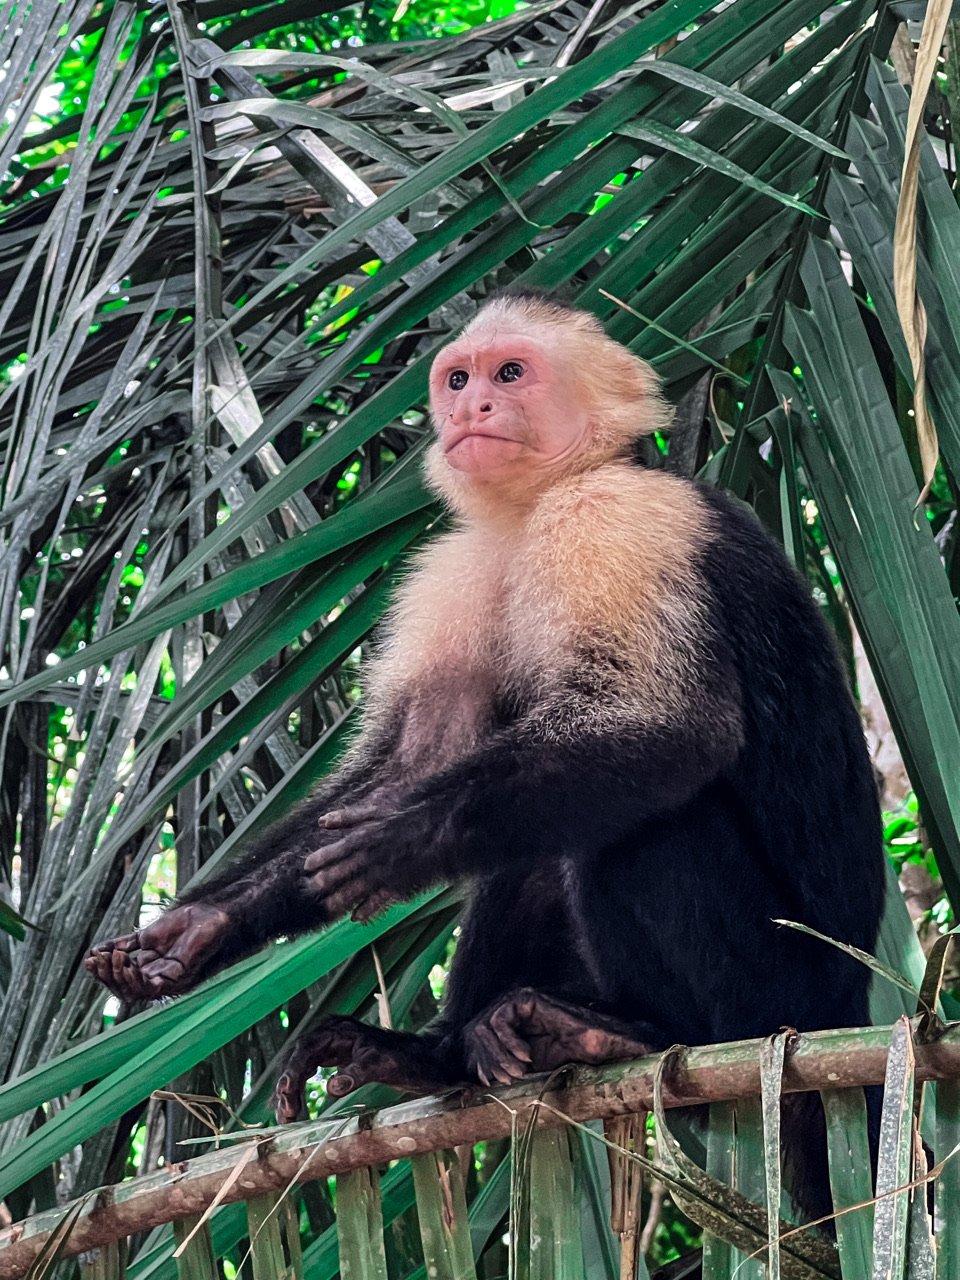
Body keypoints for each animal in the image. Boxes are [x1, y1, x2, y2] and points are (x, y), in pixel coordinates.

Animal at [87, 289, 886, 1223]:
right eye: (459, 379)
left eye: (511, 373)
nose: (471, 411)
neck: (542, 502)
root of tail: (852, 1005)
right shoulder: (456, 564)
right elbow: (413, 760)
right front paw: (197, 929)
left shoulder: (618, 520)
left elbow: (674, 728)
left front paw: (402, 840)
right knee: (537, 834)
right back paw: (438, 1053)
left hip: (789, 995)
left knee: (639, 827)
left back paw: (645, 1033)